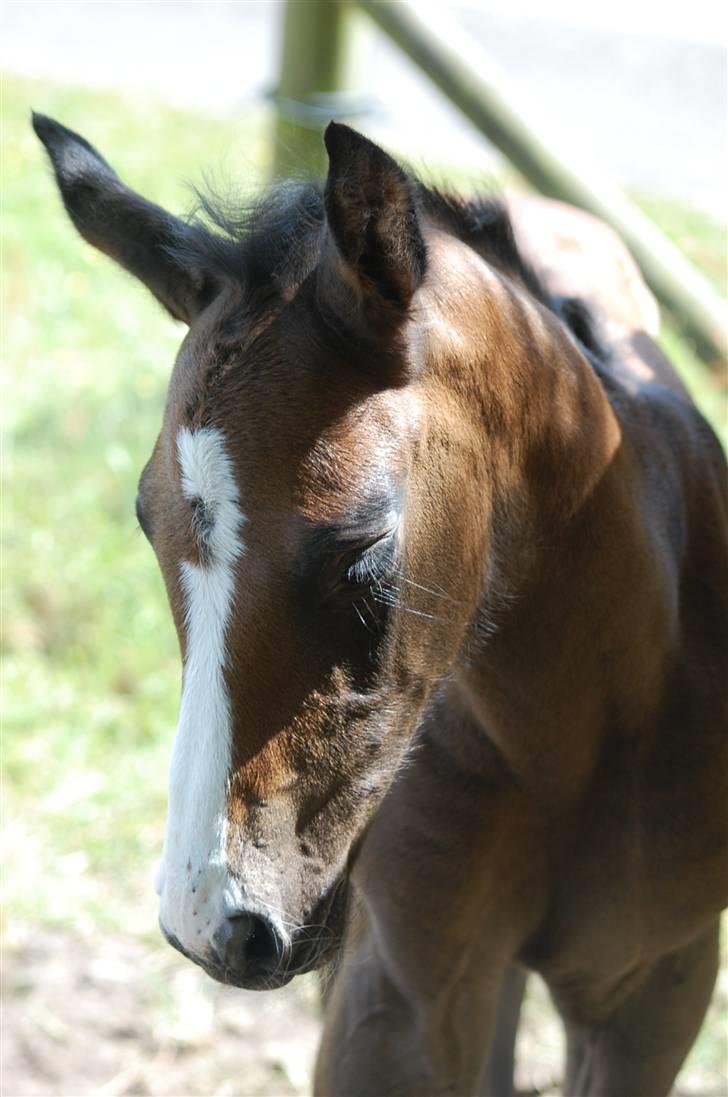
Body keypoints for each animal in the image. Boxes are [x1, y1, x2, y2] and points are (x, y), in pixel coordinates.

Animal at [35, 113, 728, 1097]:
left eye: (361, 548)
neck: (579, 730)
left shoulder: (656, 985)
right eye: (145, 523)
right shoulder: (406, 992)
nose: (208, 921)